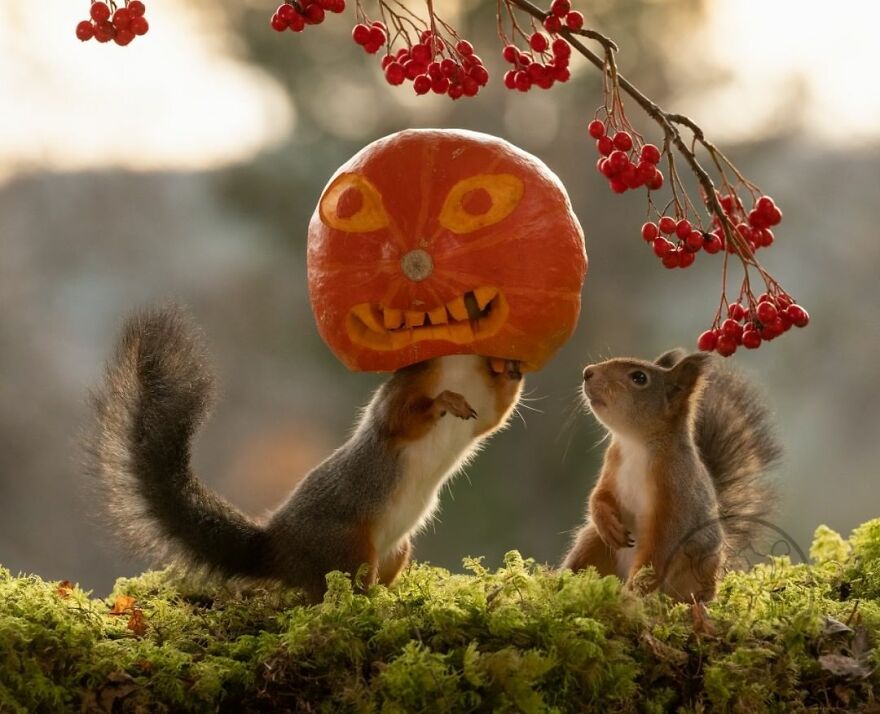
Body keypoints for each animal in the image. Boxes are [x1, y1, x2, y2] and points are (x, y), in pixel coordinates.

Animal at [84, 305, 523, 603]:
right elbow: (402, 418)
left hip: (397, 552)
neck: (459, 369)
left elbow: (496, 415)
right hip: (347, 550)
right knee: (335, 593)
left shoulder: (483, 413)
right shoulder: (399, 398)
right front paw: (447, 400)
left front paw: (511, 368)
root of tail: (277, 546)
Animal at [560, 348, 780, 602]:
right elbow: (599, 495)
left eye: (639, 378)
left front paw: (631, 597)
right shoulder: (612, 466)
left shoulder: (675, 494)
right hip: (593, 543)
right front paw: (605, 520)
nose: (588, 372)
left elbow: (658, 552)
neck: (636, 444)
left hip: (700, 566)